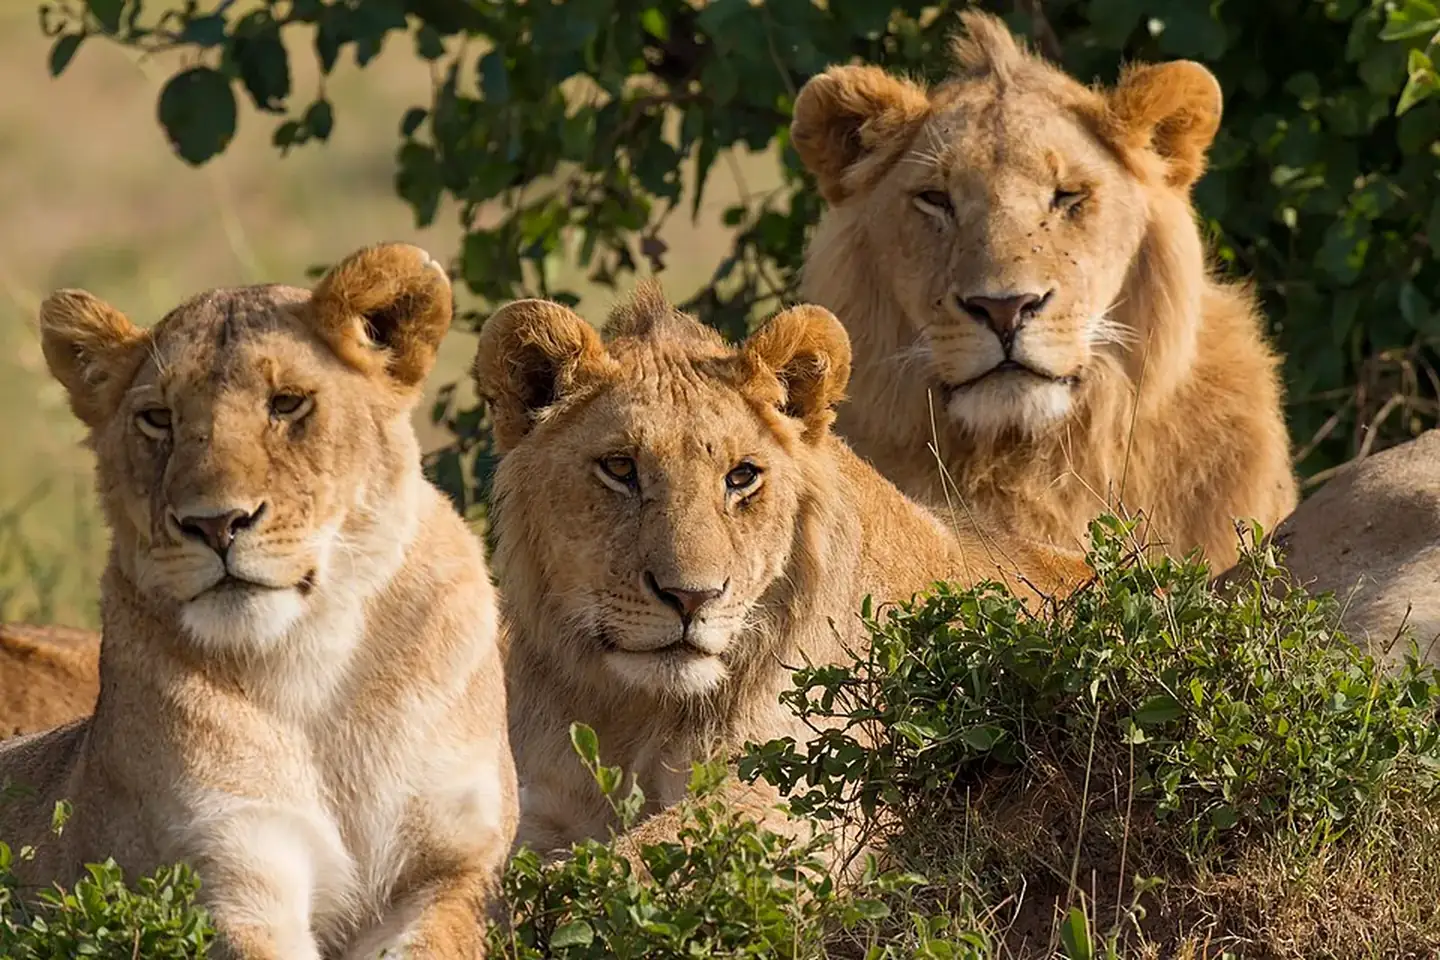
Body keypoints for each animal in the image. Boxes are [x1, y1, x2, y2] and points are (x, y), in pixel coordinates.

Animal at [0, 243, 517, 960]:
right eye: (158, 419)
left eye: (287, 403)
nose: (216, 524)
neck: (316, 669)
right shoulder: (228, 864)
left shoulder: (456, 864)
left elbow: (431, 939)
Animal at [471, 283, 1093, 858]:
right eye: (620, 469)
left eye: (742, 476)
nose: (691, 598)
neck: (635, 713)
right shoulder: (535, 802)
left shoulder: (801, 794)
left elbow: (629, 862)